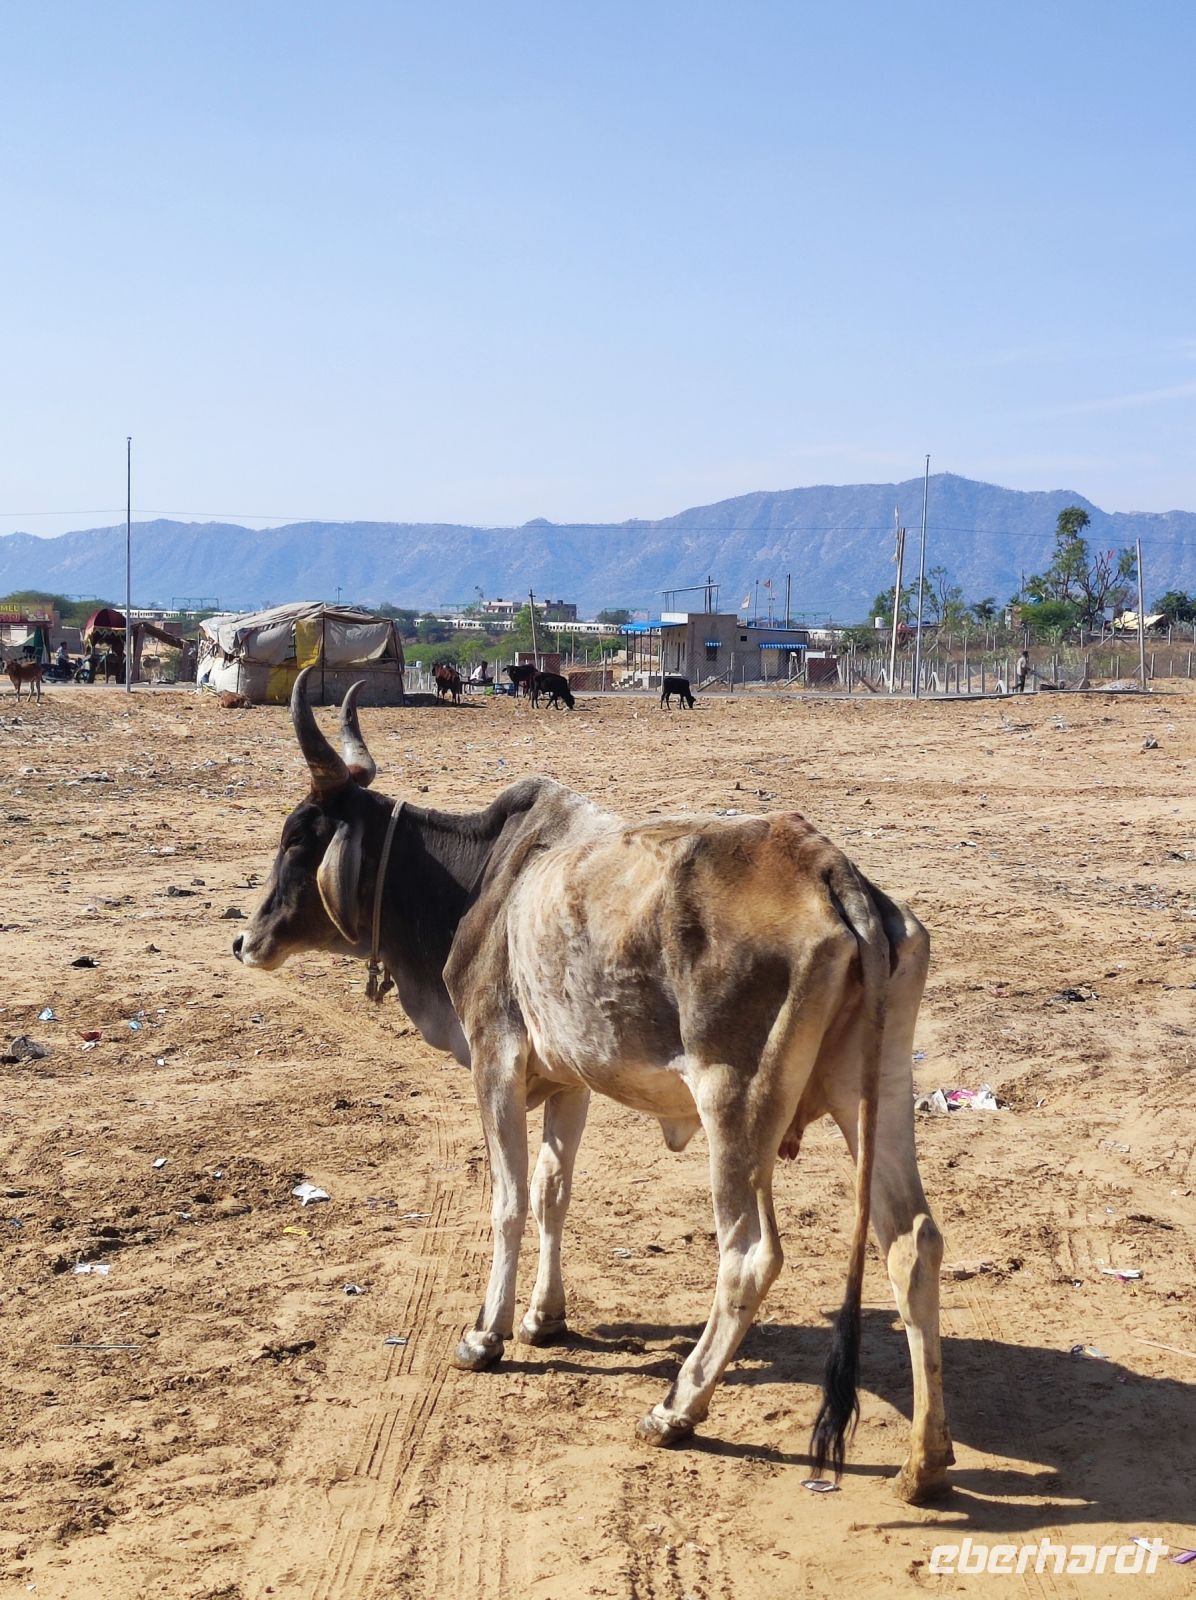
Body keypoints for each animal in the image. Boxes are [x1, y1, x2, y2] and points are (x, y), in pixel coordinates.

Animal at [232, 670, 952, 1502]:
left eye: (297, 837)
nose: (245, 940)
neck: (478, 885)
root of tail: (831, 871)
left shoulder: (495, 1060)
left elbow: (509, 1202)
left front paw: (486, 1334)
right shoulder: (566, 1079)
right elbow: (554, 1195)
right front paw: (544, 1318)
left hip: (735, 1103)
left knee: (748, 1255)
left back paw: (677, 1407)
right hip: (875, 1092)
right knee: (912, 1243)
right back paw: (925, 1461)